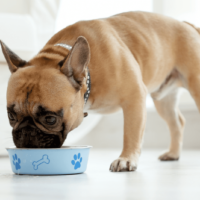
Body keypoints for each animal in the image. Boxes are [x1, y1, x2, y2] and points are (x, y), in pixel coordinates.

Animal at [0, 11, 200, 172]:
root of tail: (186, 25)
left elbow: (131, 133)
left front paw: (126, 159)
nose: (26, 133)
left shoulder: (134, 97)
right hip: (163, 99)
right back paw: (173, 154)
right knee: (177, 123)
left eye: (50, 119)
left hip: (195, 86)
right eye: (11, 116)